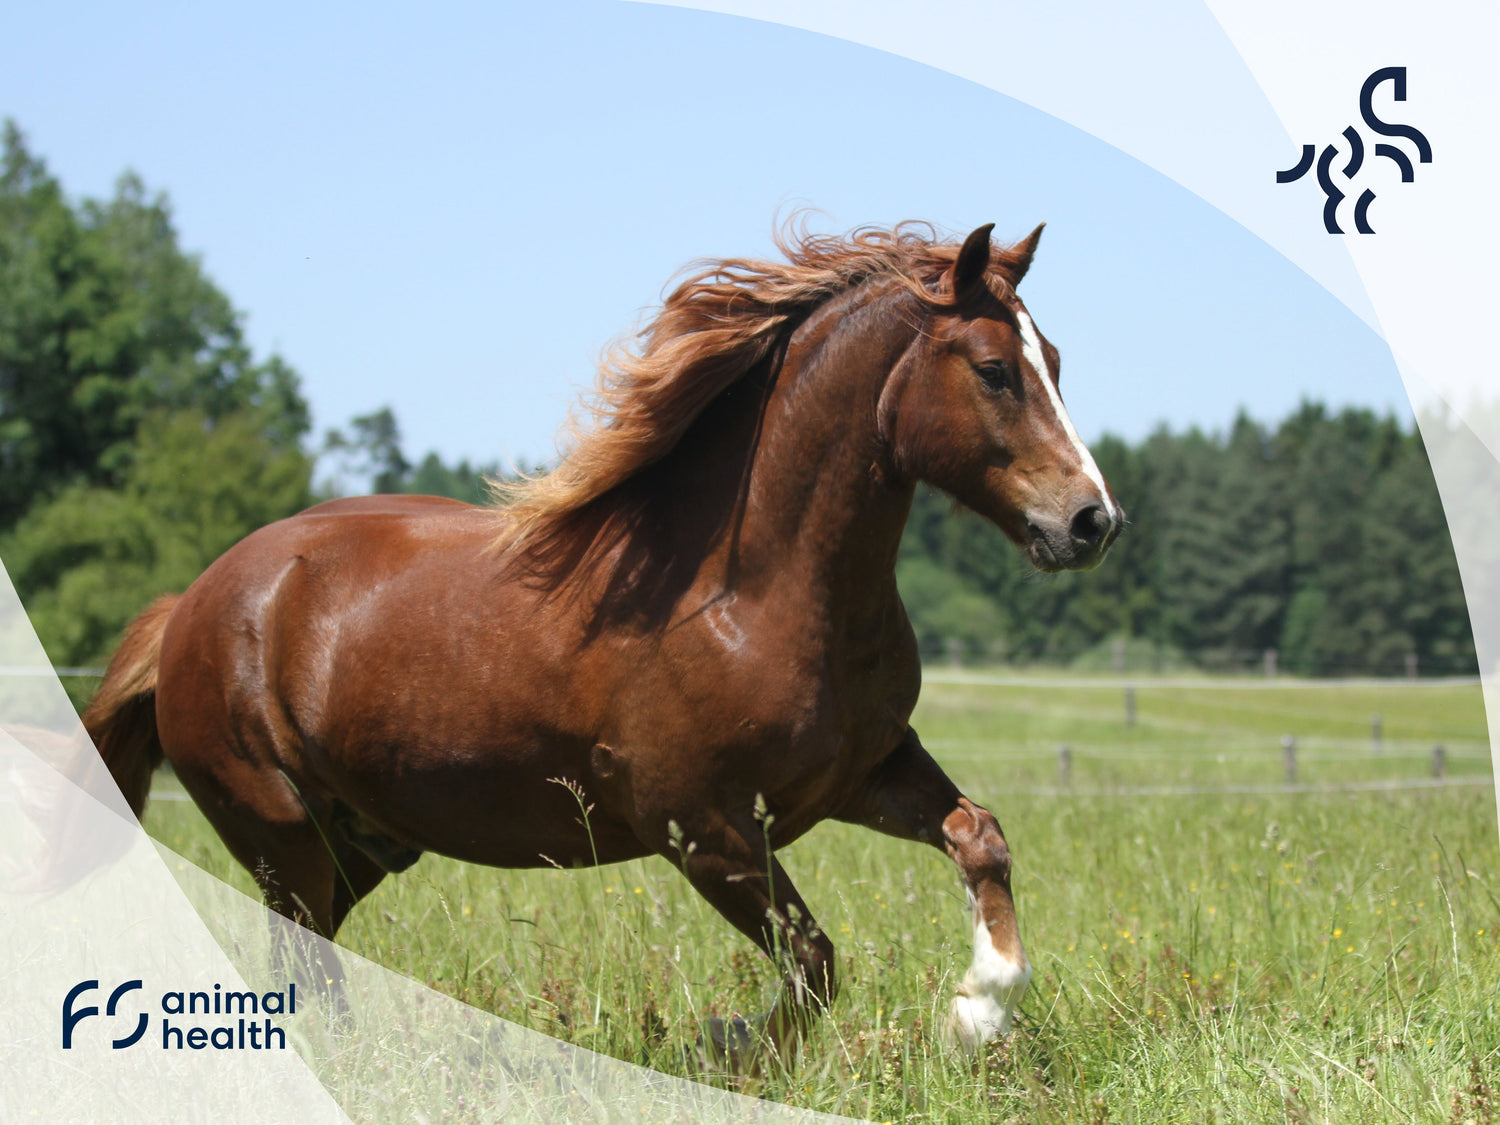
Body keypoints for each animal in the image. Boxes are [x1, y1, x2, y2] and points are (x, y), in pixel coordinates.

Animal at [83, 221, 1121, 1064]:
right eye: (993, 369)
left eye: (1055, 357)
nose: (1091, 521)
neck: (748, 593)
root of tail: (188, 605)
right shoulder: (701, 829)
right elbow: (814, 961)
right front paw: (729, 1050)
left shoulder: (861, 773)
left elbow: (980, 839)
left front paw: (976, 1014)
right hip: (281, 831)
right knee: (301, 975)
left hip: (361, 843)